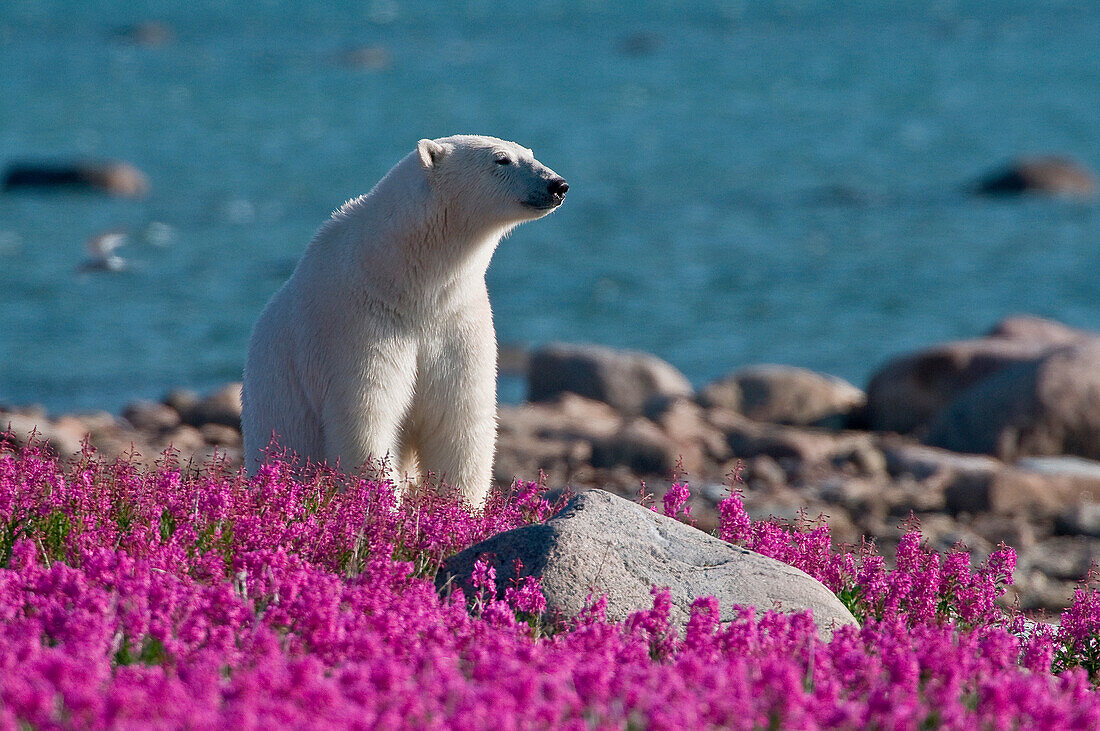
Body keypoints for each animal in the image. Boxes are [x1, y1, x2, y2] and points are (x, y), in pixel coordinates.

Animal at [240, 134, 567, 505]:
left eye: (529, 153)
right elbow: (367, 418)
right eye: (501, 159)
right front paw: (385, 505)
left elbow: (459, 419)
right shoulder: (357, 322)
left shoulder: (456, 321)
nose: (558, 185)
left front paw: (460, 509)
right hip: (276, 418)